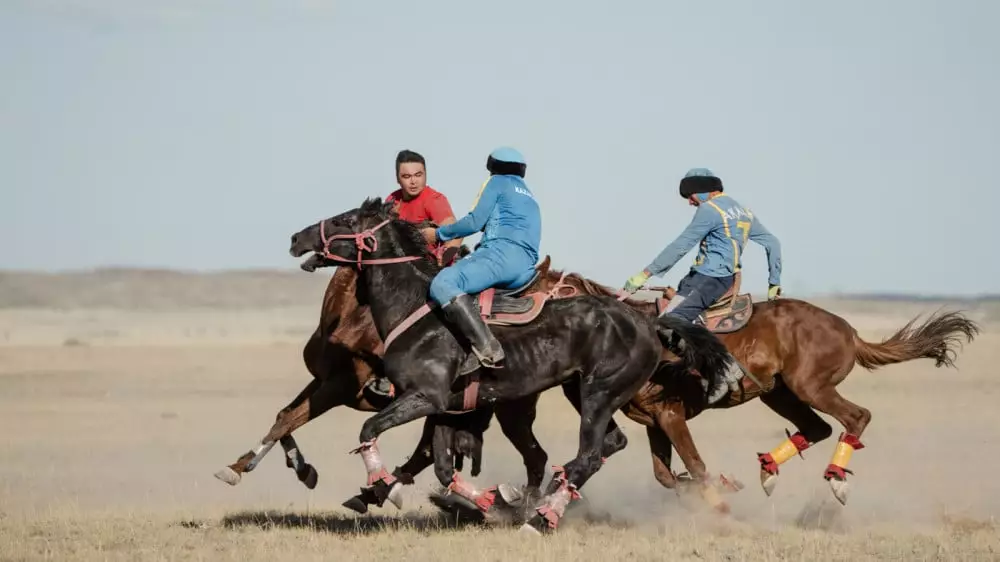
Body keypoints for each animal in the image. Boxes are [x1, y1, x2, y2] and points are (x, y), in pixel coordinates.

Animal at [286, 199, 732, 532]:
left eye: (345, 220)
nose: (295, 236)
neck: (416, 308)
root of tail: (647, 321)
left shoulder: (423, 397)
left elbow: (370, 430)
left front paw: (383, 486)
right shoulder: (448, 408)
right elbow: (443, 468)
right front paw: (487, 501)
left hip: (599, 394)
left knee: (588, 455)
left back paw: (543, 516)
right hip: (583, 392)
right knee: (605, 446)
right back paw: (543, 498)